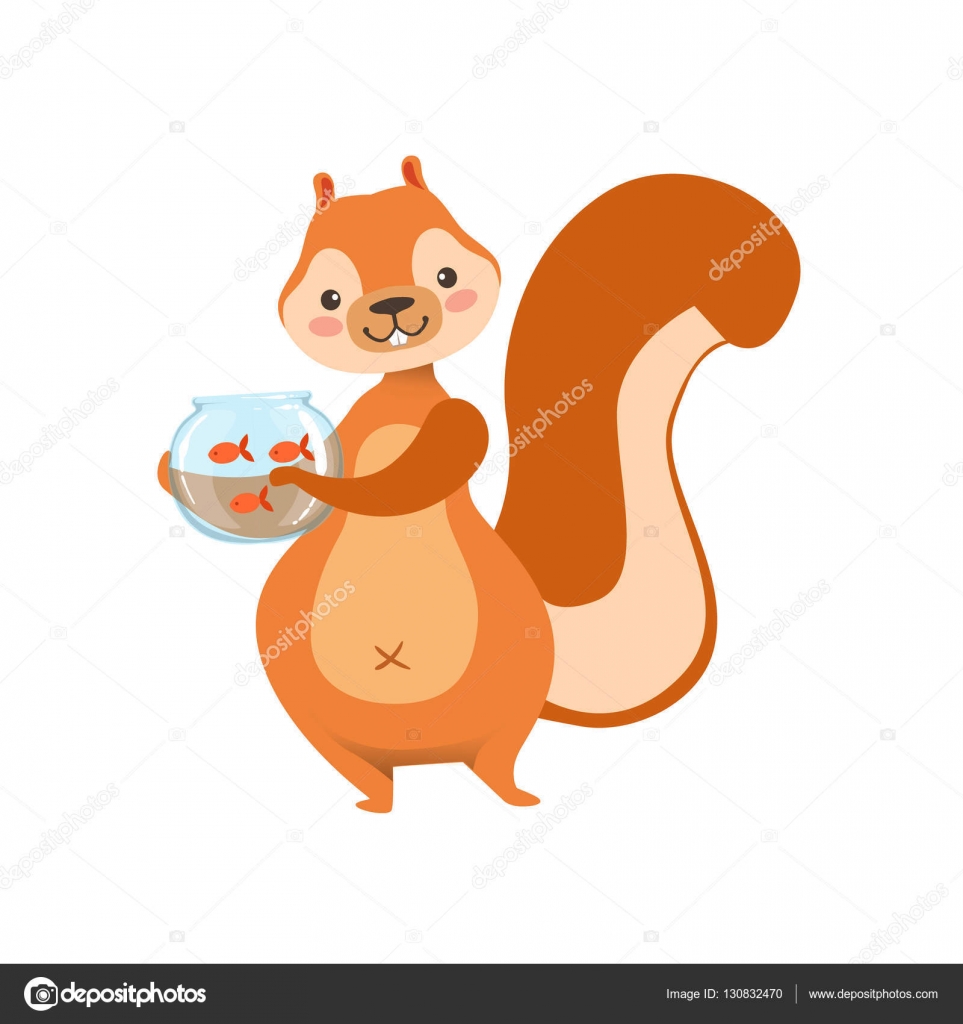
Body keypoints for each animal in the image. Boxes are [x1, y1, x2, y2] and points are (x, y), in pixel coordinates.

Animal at [158, 156, 799, 812]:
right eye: (329, 297)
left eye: (446, 275)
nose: (391, 305)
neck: (401, 389)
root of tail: (426, 756)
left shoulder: (459, 422)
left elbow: (407, 481)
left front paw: (296, 475)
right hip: (311, 710)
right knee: (360, 765)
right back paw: (378, 799)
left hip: (510, 693)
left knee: (495, 757)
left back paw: (508, 794)